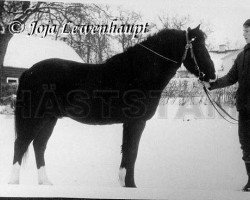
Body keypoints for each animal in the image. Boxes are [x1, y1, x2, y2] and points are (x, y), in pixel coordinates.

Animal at [9, 25, 215, 188]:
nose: (212, 76)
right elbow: (132, 152)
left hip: (49, 119)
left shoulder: (131, 123)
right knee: (21, 144)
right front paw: (130, 185)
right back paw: (14, 183)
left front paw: (125, 183)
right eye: (198, 47)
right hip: (34, 117)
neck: (137, 73)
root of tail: (29, 71)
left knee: (39, 146)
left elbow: (128, 152)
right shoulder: (135, 122)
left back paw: (45, 182)